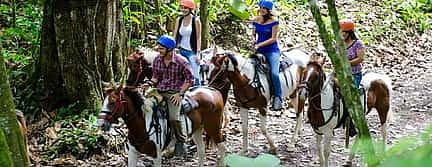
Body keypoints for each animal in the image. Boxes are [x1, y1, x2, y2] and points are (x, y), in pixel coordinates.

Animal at [98, 84, 226, 166]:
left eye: (112, 102)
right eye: (104, 101)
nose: (100, 124)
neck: (144, 125)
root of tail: (214, 91)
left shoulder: (156, 155)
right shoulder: (132, 154)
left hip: (214, 128)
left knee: (222, 148)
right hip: (197, 130)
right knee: (201, 150)